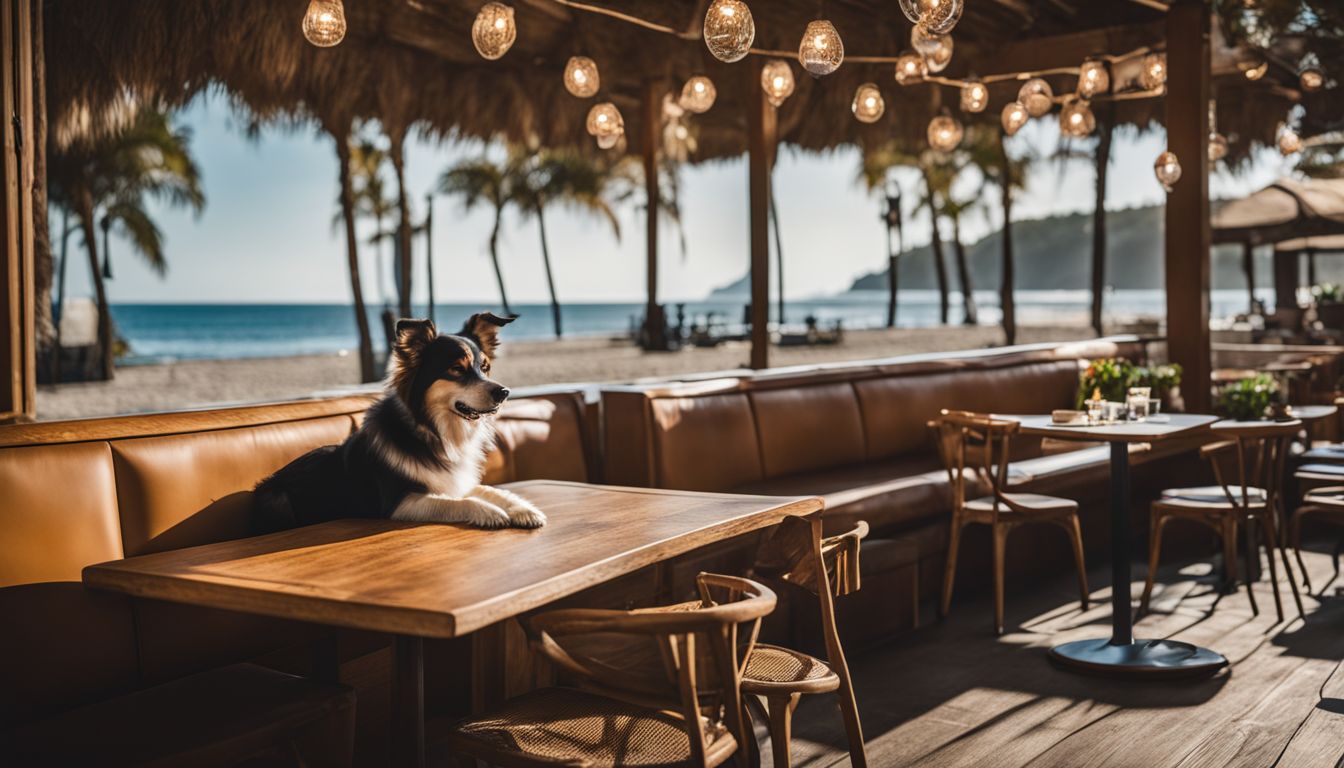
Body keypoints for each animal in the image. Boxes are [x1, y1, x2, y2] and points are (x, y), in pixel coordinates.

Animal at [252, 312, 545, 535]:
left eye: (485, 368)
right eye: (456, 369)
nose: (503, 392)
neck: (435, 431)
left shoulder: (453, 482)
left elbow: (490, 490)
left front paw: (523, 509)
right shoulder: (401, 502)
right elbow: (457, 502)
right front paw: (490, 512)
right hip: (276, 500)